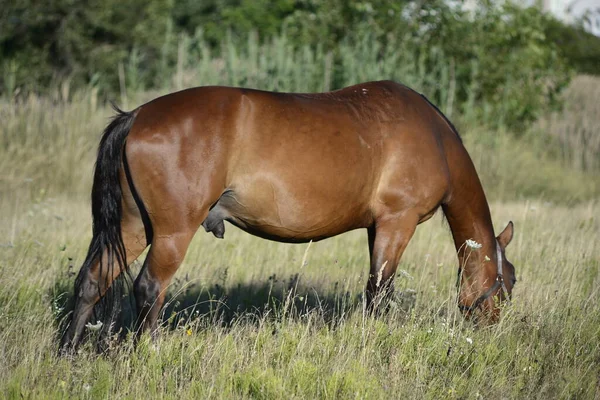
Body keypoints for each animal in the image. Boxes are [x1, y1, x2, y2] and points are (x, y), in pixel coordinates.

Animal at [59, 80, 516, 354]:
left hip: (134, 227)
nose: (493, 333)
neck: (434, 138)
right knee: (149, 289)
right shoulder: (396, 223)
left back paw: (68, 353)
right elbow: (379, 293)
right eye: (508, 284)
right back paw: (151, 351)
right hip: (172, 233)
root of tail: (136, 116)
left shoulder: (376, 228)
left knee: (93, 281)